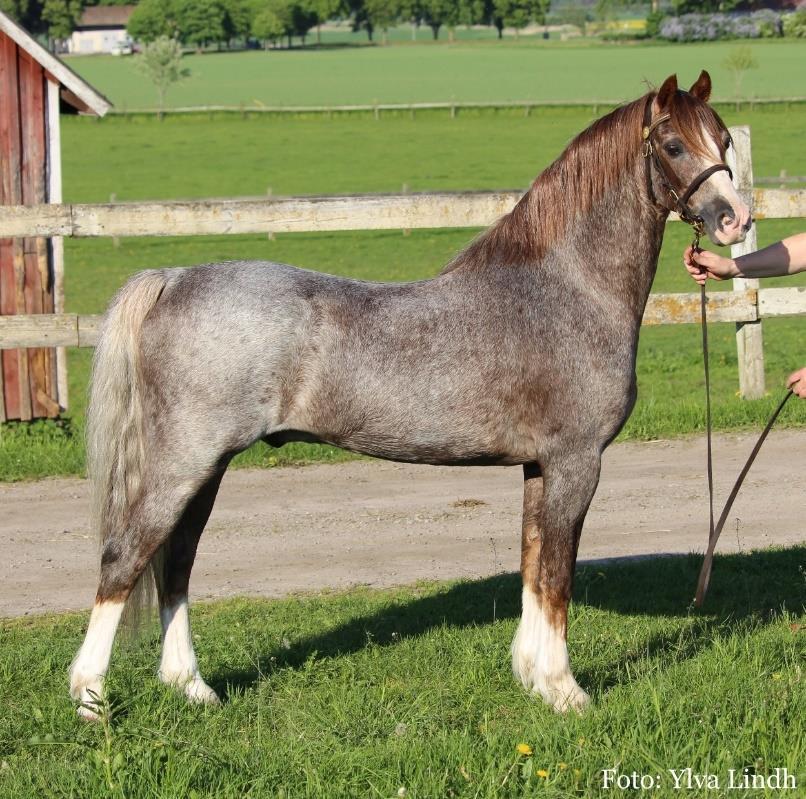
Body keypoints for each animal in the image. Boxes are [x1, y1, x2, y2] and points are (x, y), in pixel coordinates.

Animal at [69, 73, 752, 720]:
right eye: (672, 144)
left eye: (724, 142)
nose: (735, 219)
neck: (564, 290)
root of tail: (175, 278)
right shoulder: (576, 463)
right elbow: (558, 577)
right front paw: (565, 692)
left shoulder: (539, 467)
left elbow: (533, 568)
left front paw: (533, 678)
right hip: (183, 463)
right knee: (124, 558)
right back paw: (91, 700)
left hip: (206, 470)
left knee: (176, 564)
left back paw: (191, 688)